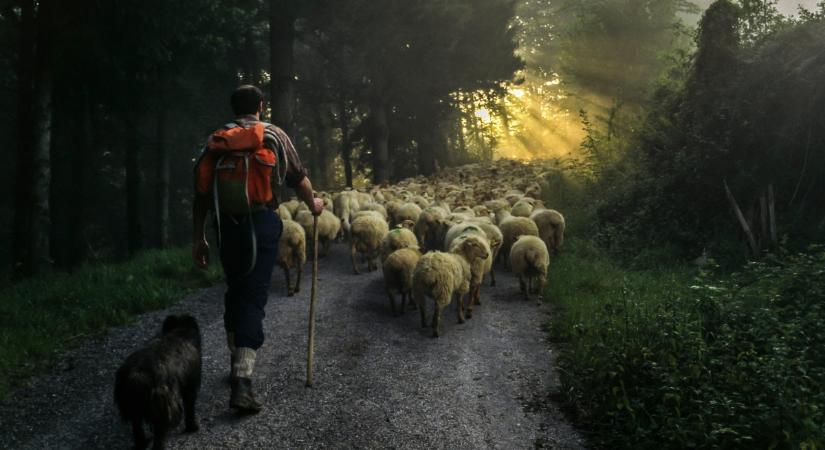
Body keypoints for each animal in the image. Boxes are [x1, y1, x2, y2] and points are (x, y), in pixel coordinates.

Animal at [114, 314, 203, 448]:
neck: (179, 332)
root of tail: (137, 373)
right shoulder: (190, 385)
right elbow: (190, 407)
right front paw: (192, 427)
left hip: (134, 407)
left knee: (137, 427)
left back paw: (142, 443)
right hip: (162, 407)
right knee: (158, 437)